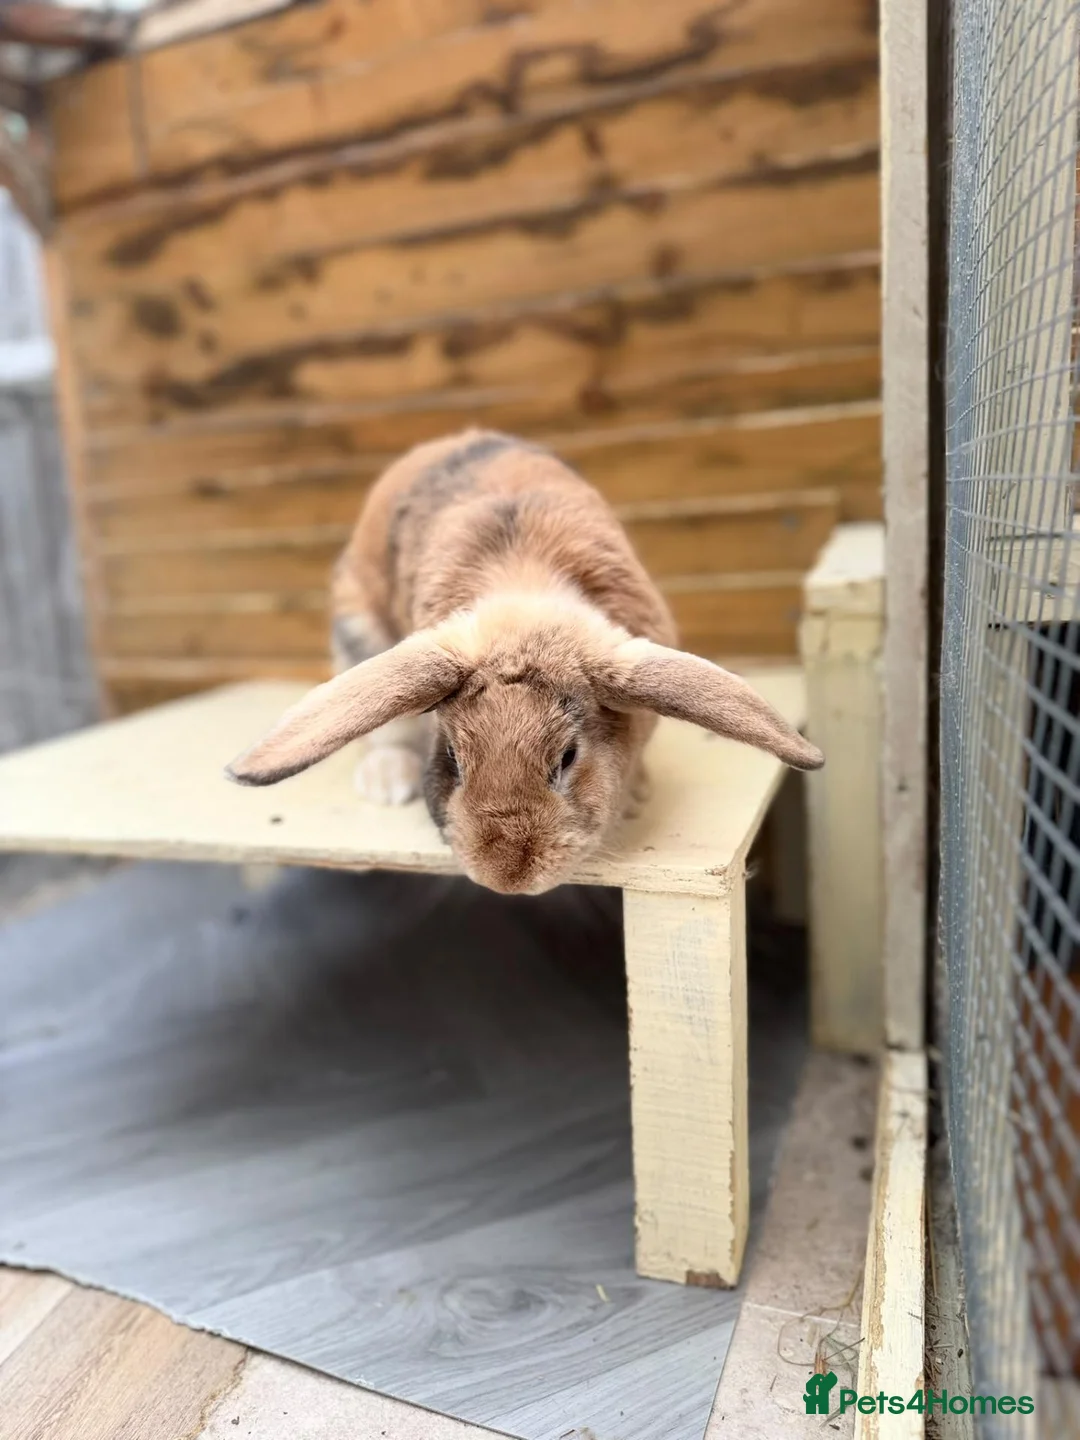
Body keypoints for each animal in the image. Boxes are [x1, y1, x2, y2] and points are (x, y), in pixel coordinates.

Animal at [226, 429, 823, 895]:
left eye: (567, 756)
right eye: (453, 756)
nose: (508, 876)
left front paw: (637, 796)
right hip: (359, 634)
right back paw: (386, 781)